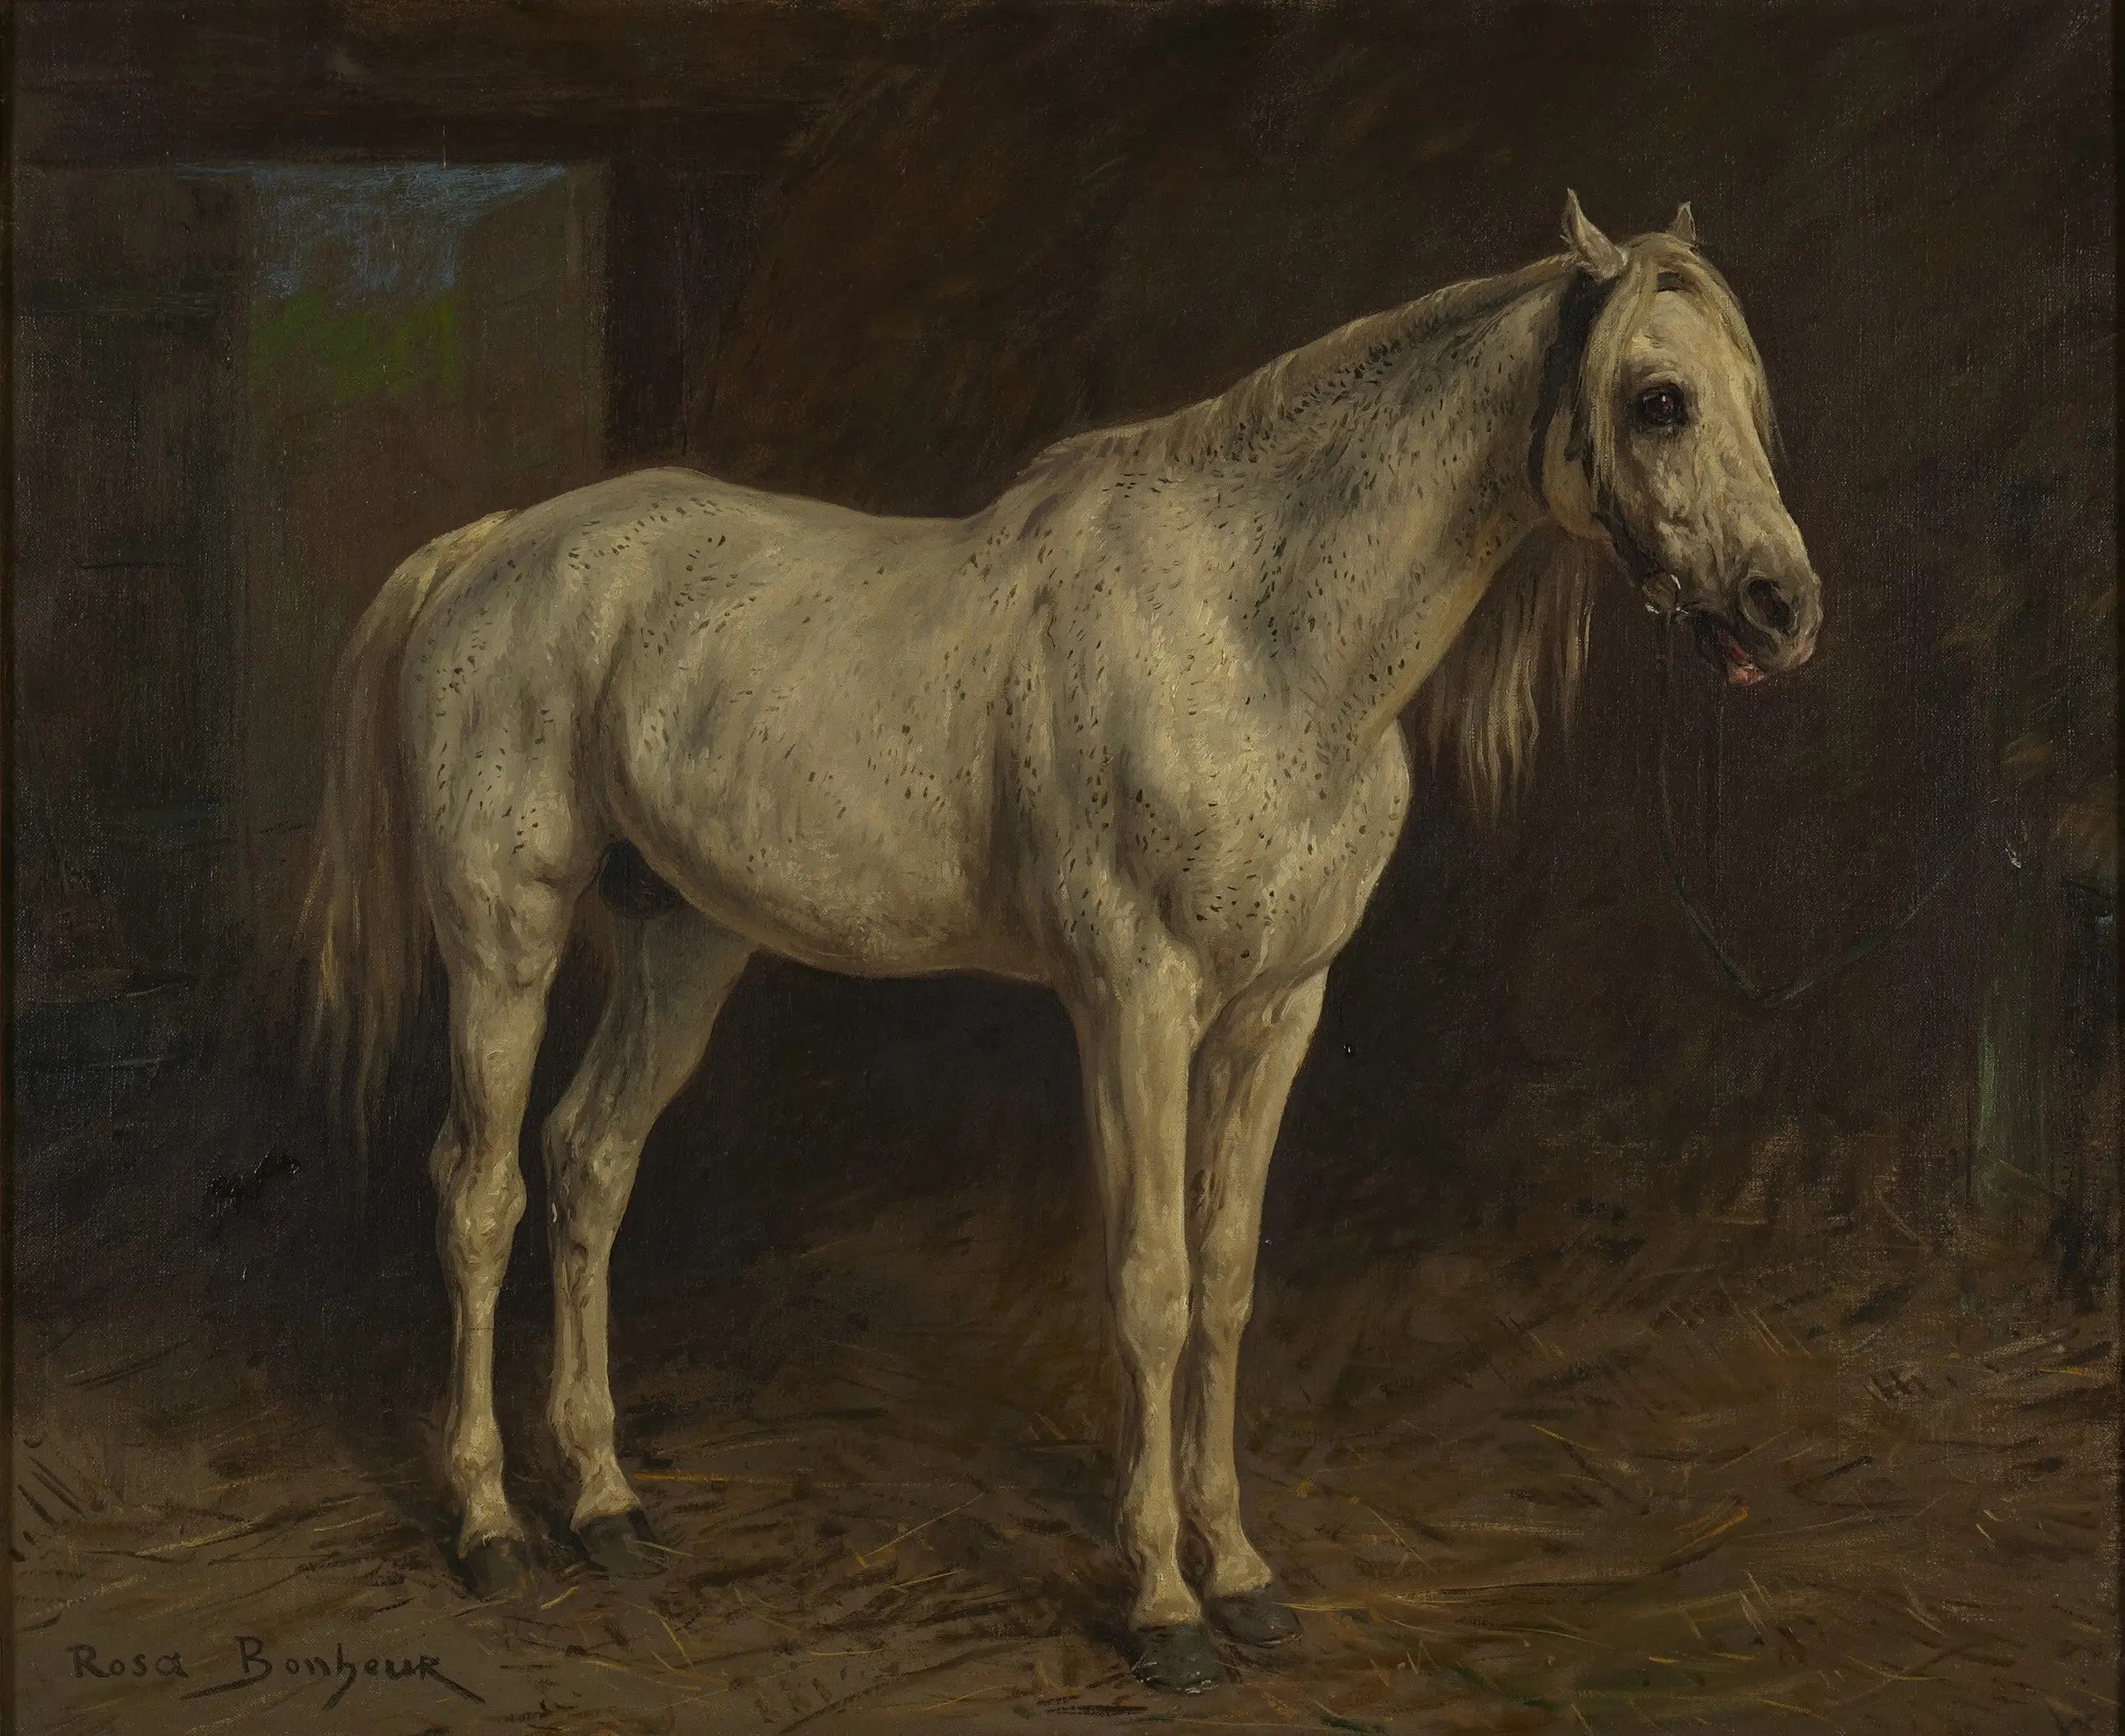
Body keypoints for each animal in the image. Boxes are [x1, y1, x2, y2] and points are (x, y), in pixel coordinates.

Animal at [302, 193, 1820, 1692]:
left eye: (1750, 398)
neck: (1252, 637)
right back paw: (492, 1526)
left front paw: (1243, 1575)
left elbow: (1227, 1282)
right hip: (504, 942)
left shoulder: (1277, 1011)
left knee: (588, 1163)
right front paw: (1162, 1606)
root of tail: (493, 548)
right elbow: (1150, 1287)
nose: (1781, 607)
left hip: (684, 943)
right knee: (480, 1193)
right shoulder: (1132, 1004)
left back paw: (607, 1505)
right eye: (1658, 400)